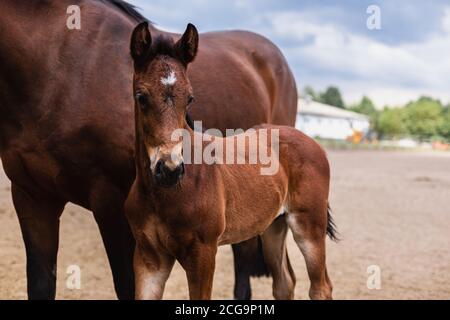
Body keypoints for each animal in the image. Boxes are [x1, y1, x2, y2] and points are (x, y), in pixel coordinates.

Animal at [125, 23, 336, 300]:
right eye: (141, 96)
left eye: (190, 98)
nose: (170, 169)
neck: (159, 195)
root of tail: (311, 142)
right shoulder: (149, 257)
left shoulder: (203, 253)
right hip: (273, 226)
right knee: (284, 282)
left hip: (309, 225)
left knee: (321, 287)